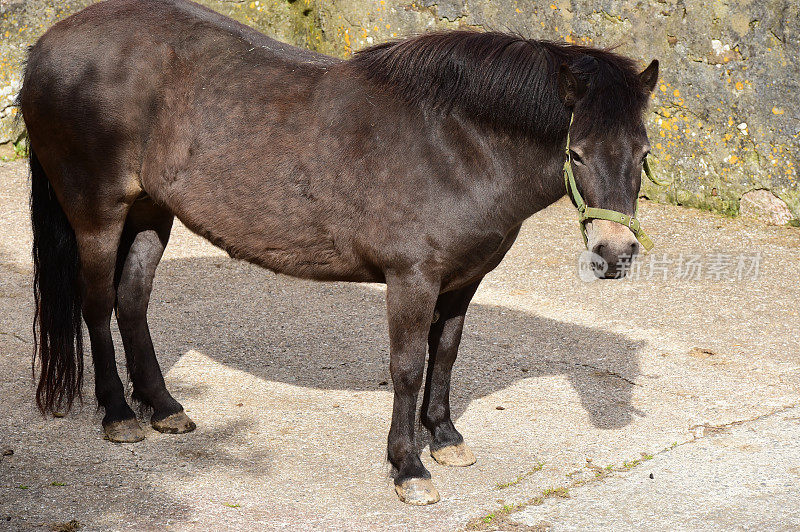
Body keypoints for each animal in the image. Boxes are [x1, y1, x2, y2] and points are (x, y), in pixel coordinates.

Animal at [18, 0, 656, 502]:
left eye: (644, 153)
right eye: (576, 153)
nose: (615, 252)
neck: (459, 147)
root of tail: (45, 45)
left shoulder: (463, 279)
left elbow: (446, 355)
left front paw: (445, 438)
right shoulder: (412, 279)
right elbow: (407, 366)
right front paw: (409, 468)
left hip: (152, 212)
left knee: (132, 302)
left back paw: (164, 407)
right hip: (98, 215)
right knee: (97, 305)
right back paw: (120, 415)